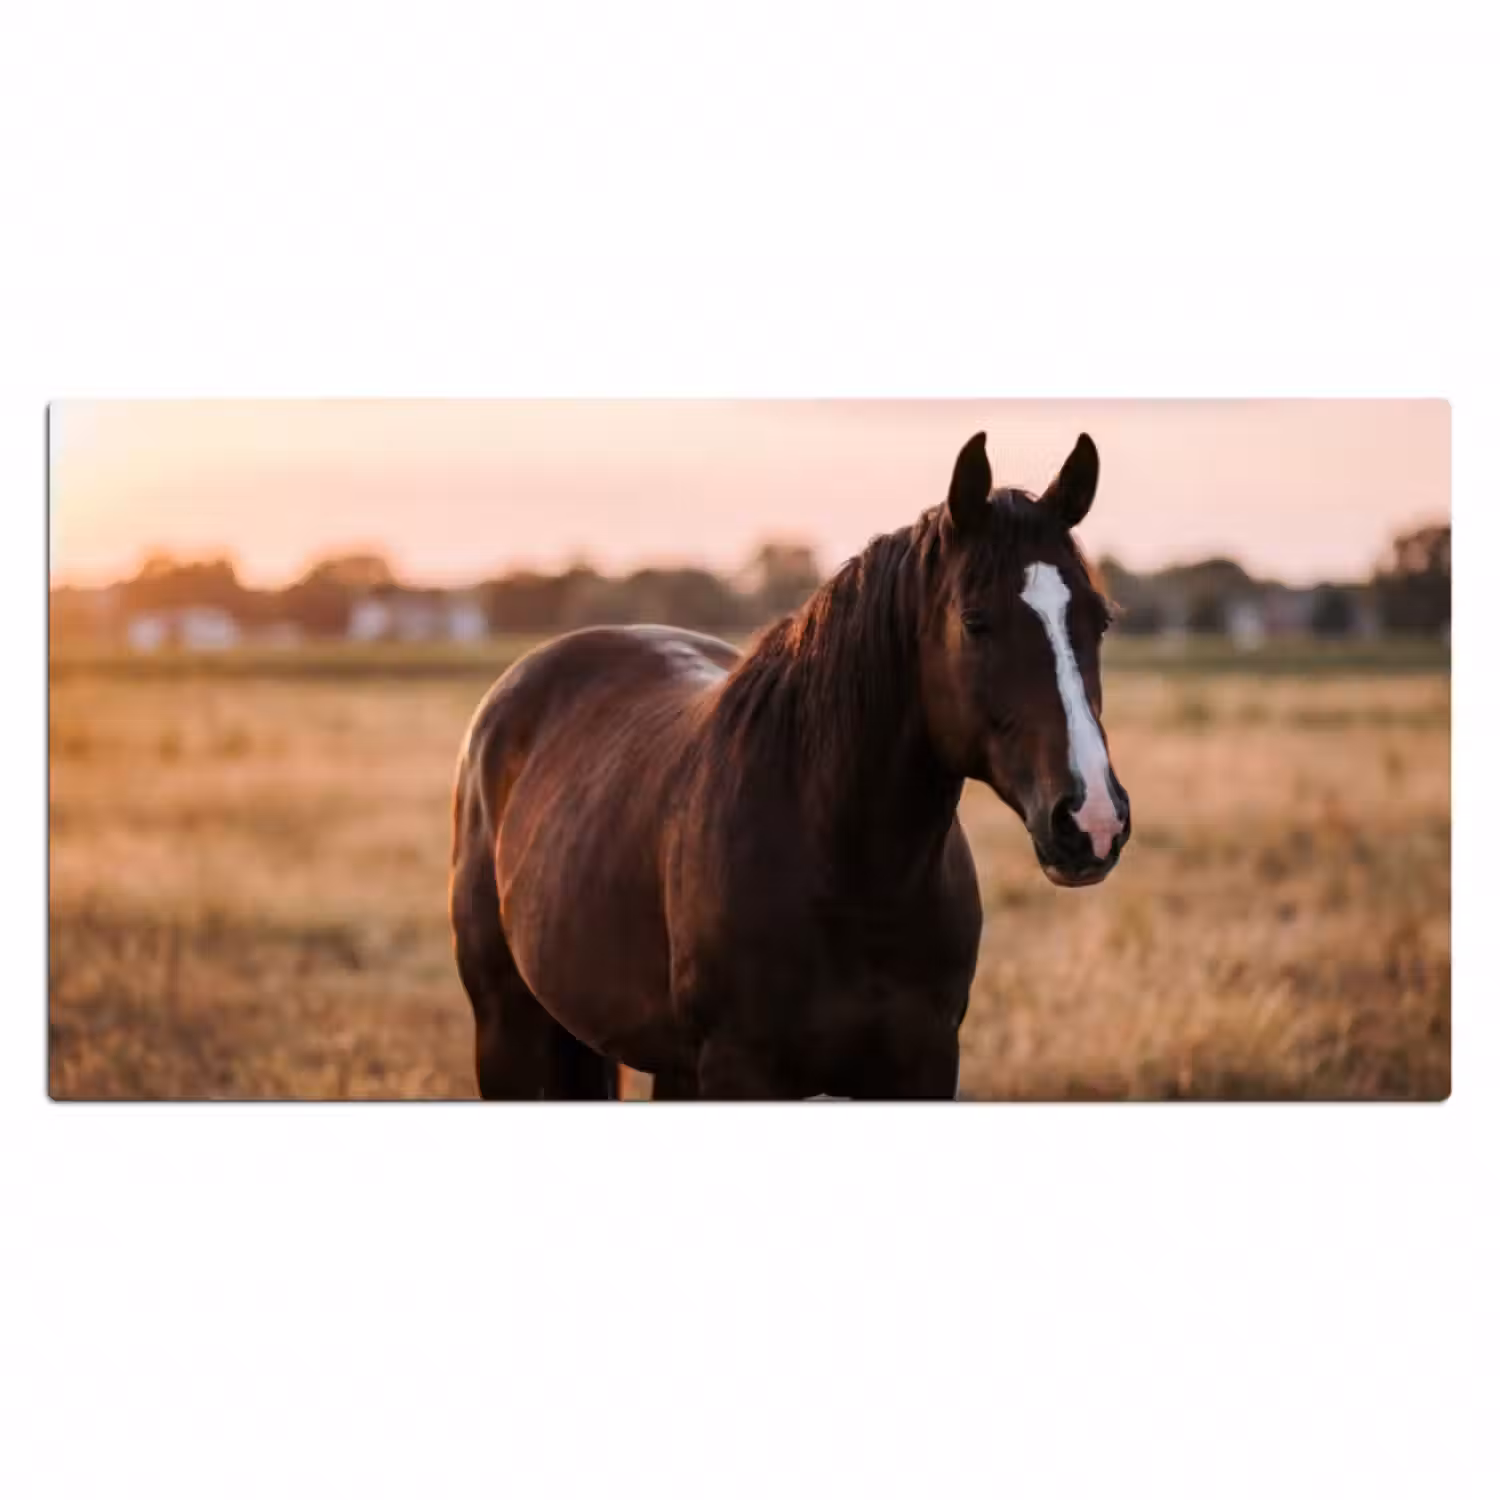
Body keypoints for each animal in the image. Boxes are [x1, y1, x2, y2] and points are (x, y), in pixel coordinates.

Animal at [449, 430, 1131, 1100]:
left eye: (1100, 620)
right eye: (975, 621)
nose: (1092, 820)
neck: (848, 872)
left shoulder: (926, 1065)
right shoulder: (739, 1070)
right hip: (507, 1030)